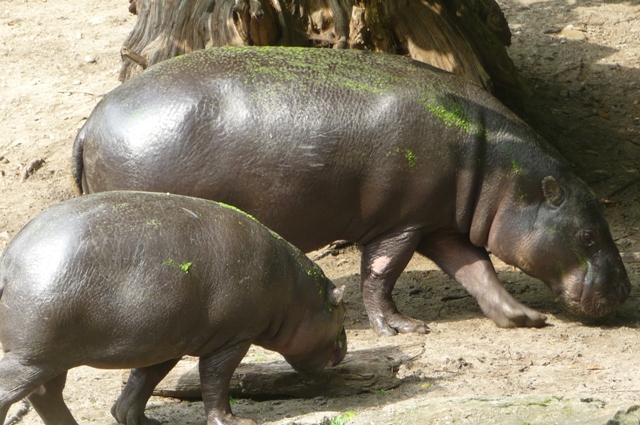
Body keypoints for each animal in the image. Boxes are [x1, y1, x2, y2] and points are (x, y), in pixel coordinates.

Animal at [0, 191, 347, 425]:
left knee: (46, 395)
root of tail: (9, 257)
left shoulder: (162, 343)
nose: (343, 348)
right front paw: (234, 421)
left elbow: (142, 383)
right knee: (14, 391)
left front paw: (141, 420)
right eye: (340, 306)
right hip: (33, 357)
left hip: (48, 358)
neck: (295, 290)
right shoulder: (234, 337)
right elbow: (216, 380)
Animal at [72, 46, 630, 336]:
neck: (502, 172)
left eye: (604, 222)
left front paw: (522, 317)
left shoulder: (440, 223)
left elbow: (478, 271)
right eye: (587, 236)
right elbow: (380, 276)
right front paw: (403, 329)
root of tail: (90, 121)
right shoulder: (401, 222)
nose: (626, 291)